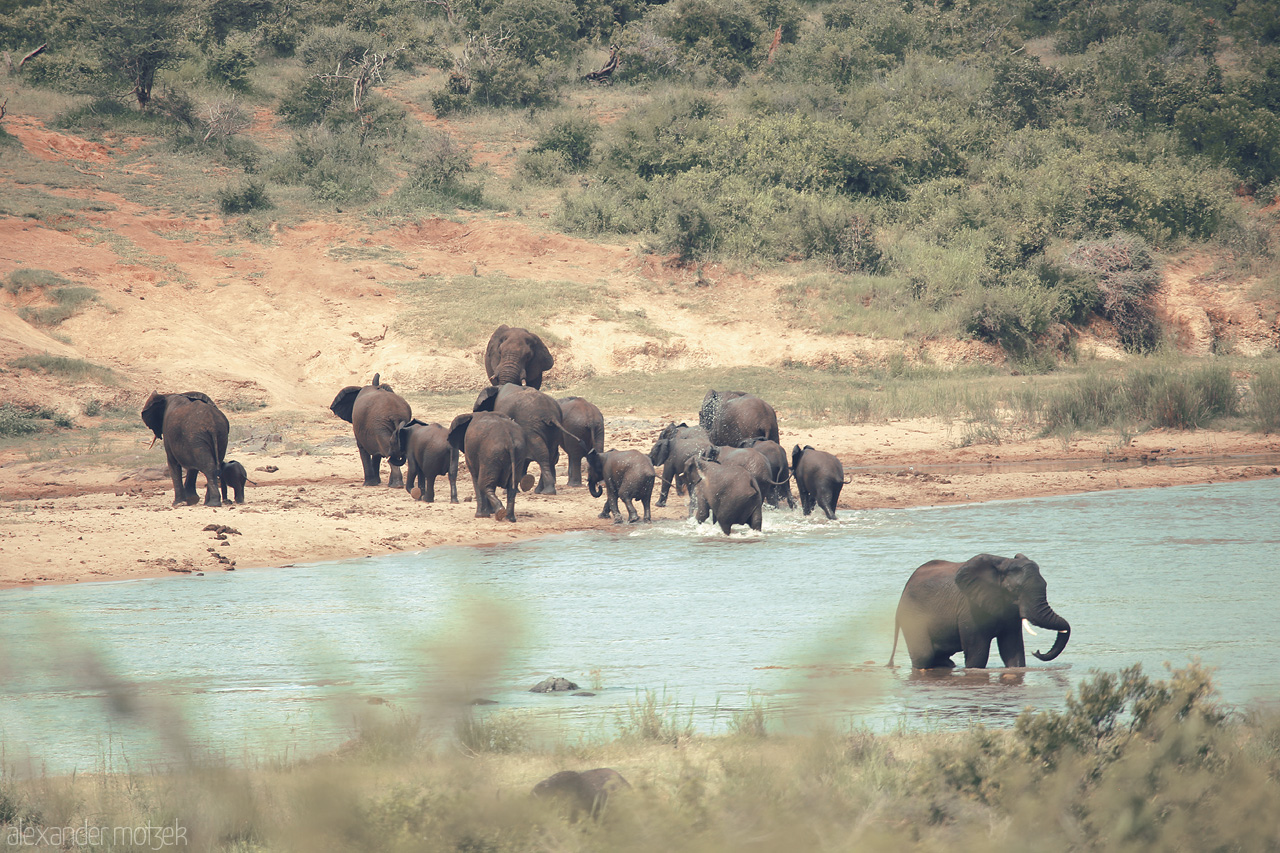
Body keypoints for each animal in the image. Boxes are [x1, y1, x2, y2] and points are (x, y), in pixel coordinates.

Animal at [890, 550, 1070, 671]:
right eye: (1015, 590)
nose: (1037, 651)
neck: (1003, 564)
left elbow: (1013, 651)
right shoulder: (969, 607)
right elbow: (978, 655)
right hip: (911, 616)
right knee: (924, 657)